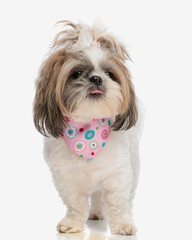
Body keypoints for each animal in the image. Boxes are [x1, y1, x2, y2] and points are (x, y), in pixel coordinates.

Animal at [33, 19, 140, 235]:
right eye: (77, 73)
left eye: (109, 74)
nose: (97, 78)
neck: (88, 130)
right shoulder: (67, 177)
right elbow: (76, 204)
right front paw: (73, 223)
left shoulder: (118, 174)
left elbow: (117, 202)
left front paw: (122, 224)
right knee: (97, 197)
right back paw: (96, 213)